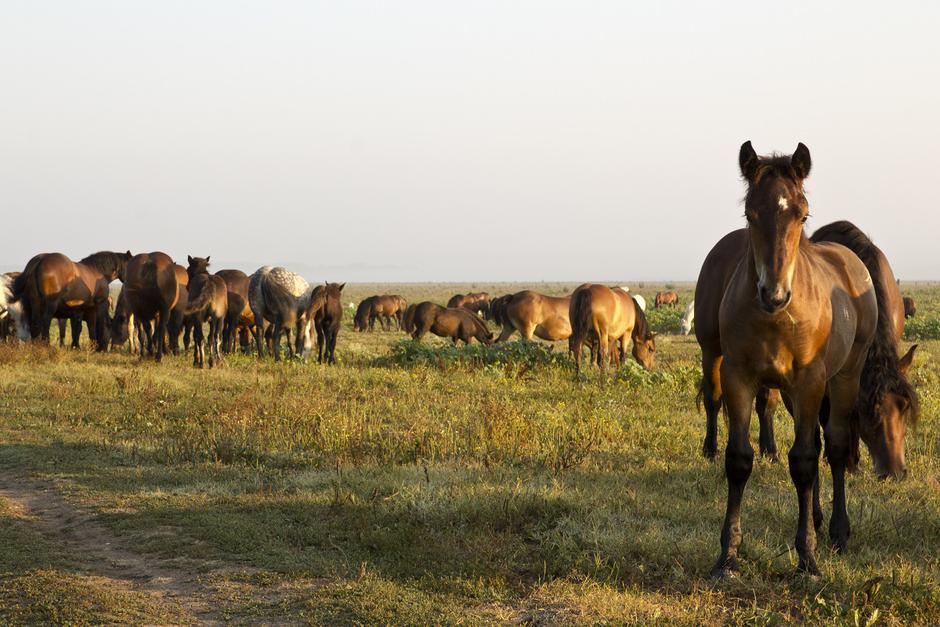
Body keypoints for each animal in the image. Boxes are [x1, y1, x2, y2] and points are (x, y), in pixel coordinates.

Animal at [704, 142, 916, 580]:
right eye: (750, 213)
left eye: (801, 214)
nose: (774, 293)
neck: (774, 317)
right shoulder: (737, 378)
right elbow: (739, 460)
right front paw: (728, 556)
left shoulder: (809, 383)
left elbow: (804, 461)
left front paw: (807, 559)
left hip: (843, 378)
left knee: (832, 447)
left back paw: (836, 532)